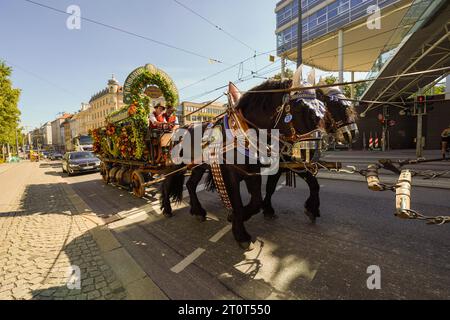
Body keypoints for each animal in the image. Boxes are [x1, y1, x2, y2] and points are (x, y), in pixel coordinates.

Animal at [162, 79, 326, 249]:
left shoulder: (253, 172)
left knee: (190, 185)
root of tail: (178, 129)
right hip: (177, 164)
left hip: (197, 167)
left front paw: (237, 218)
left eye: (322, 107)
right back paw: (167, 209)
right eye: (301, 107)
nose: (316, 148)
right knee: (166, 182)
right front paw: (241, 234)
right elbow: (237, 202)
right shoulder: (230, 174)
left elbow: (257, 201)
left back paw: (198, 211)